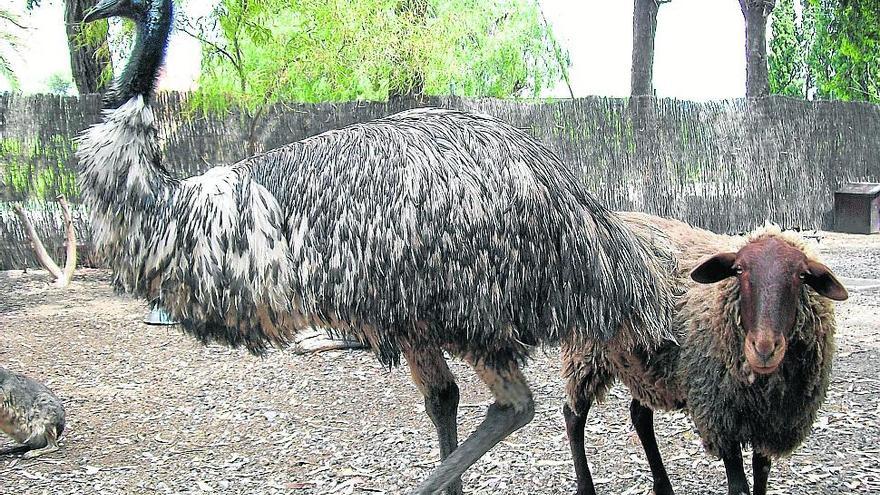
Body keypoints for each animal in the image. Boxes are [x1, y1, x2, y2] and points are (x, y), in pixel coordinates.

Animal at [564, 215, 844, 495]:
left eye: (802, 275)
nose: (763, 349)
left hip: (644, 366)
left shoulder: (771, 424)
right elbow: (739, 487)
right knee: (573, 415)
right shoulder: (720, 418)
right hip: (586, 354)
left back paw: (663, 486)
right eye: (738, 270)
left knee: (640, 416)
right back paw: (586, 486)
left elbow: (761, 476)